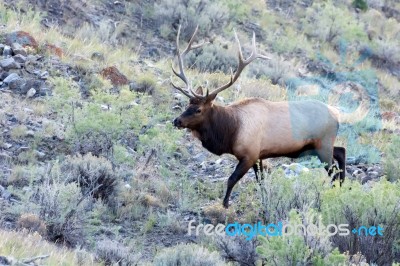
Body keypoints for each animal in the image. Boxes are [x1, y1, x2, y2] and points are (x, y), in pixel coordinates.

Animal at [170, 25, 346, 208]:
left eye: (198, 110)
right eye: (187, 105)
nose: (177, 120)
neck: (231, 131)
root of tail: (337, 115)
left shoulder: (250, 154)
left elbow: (232, 179)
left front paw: (225, 204)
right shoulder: (259, 156)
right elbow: (260, 181)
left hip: (323, 145)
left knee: (334, 171)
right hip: (318, 146)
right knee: (341, 152)